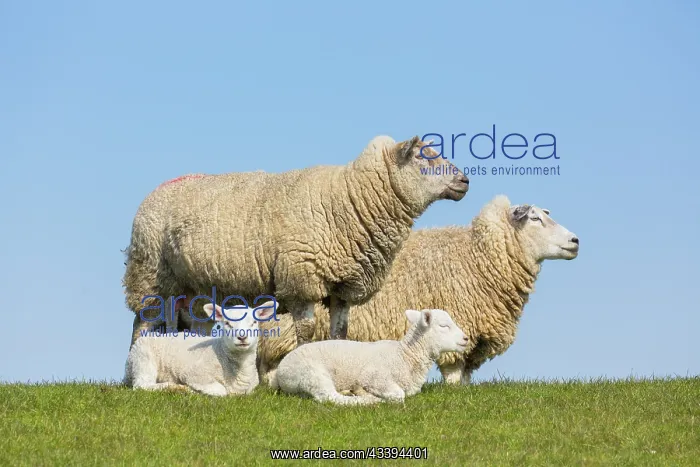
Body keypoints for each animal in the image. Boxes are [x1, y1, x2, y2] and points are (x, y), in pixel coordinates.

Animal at [122, 135, 470, 349]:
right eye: (425, 158)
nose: (465, 181)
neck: (349, 199)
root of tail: (155, 192)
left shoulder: (342, 286)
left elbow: (340, 332)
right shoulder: (300, 276)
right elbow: (307, 330)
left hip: (193, 285)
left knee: (196, 323)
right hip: (150, 273)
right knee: (144, 321)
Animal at [123, 301, 275, 396]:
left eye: (254, 322)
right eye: (227, 323)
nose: (242, 337)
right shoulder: (193, 375)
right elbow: (221, 391)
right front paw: (192, 390)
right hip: (143, 360)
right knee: (142, 385)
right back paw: (175, 387)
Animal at [258, 195, 579, 385]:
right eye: (535, 218)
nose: (575, 241)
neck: (477, 255)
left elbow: (465, 375)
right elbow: (453, 370)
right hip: (283, 330)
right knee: (270, 364)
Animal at [271, 308, 467, 405]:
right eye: (444, 326)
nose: (466, 338)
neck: (404, 355)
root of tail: (279, 372)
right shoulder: (374, 377)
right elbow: (398, 395)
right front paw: (370, 394)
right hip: (312, 373)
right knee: (328, 397)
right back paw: (366, 399)